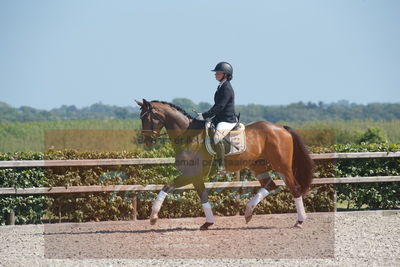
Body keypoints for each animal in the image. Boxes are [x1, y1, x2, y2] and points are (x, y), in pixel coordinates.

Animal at [136, 99, 314, 231]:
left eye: (147, 118)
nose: (146, 141)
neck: (189, 136)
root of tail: (281, 128)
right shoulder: (196, 177)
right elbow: (203, 196)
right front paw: (208, 223)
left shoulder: (192, 174)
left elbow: (166, 186)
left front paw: (153, 217)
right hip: (258, 166)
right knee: (270, 184)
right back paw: (248, 211)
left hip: (282, 166)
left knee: (294, 188)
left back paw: (299, 221)